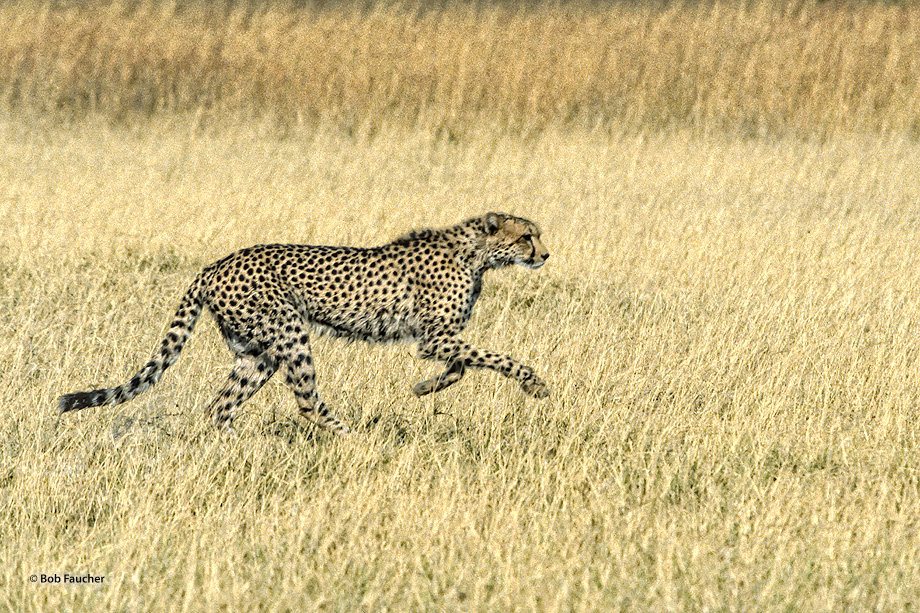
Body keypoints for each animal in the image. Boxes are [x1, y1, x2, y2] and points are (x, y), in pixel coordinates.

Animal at [61, 213, 548, 432]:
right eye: (527, 236)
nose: (545, 254)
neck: (477, 254)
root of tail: (216, 263)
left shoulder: (439, 338)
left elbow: (464, 364)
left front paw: (425, 387)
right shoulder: (433, 337)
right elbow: (491, 357)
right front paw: (535, 384)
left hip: (257, 351)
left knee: (219, 406)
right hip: (289, 331)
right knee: (307, 402)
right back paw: (352, 436)